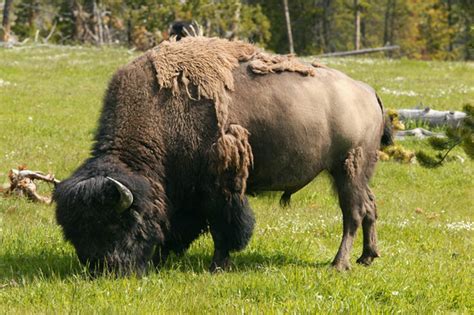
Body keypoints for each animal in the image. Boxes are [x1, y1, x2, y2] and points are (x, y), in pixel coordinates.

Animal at [53, 35, 390, 276]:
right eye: (73, 231)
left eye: (117, 224)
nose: (103, 270)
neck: (161, 111)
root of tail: (367, 91)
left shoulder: (219, 185)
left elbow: (224, 224)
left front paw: (217, 265)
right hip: (358, 174)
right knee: (370, 207)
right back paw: (367, 257)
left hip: (347, 170)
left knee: (353, 214)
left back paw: (339, 264)